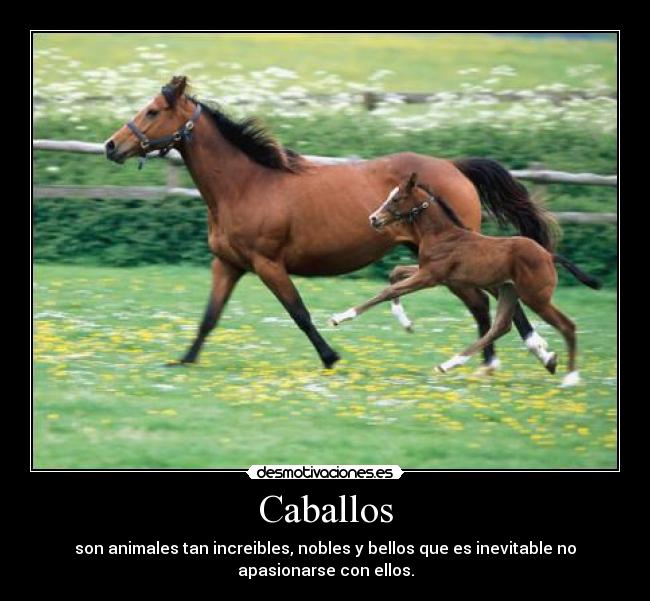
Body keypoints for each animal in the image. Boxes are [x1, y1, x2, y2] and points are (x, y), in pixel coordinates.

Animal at [105, 75, 557, 371]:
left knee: (492, 301)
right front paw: (183, 360)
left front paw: (330, 356)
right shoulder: (228, 264)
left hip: (455, 256)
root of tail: (454, 166)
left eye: (153, 111)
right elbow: (209, 316)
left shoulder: (268, 264)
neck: (246, 185)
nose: (111, 146)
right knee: (483, 303)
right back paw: (492, 362)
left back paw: (536, 352)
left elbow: (299, 313)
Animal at [329, 173, 601, 386]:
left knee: (567, 325)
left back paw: (570, 378)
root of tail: (548, 255)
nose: (374, 219)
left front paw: (340, 317)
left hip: (536, 297)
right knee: (500, 326)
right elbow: (395, 274)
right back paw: (450, 364)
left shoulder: (430, 276)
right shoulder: (433, 273)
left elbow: (388, 290)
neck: (443, 234)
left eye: (396, 199)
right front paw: (405, 322)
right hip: (508, 291)